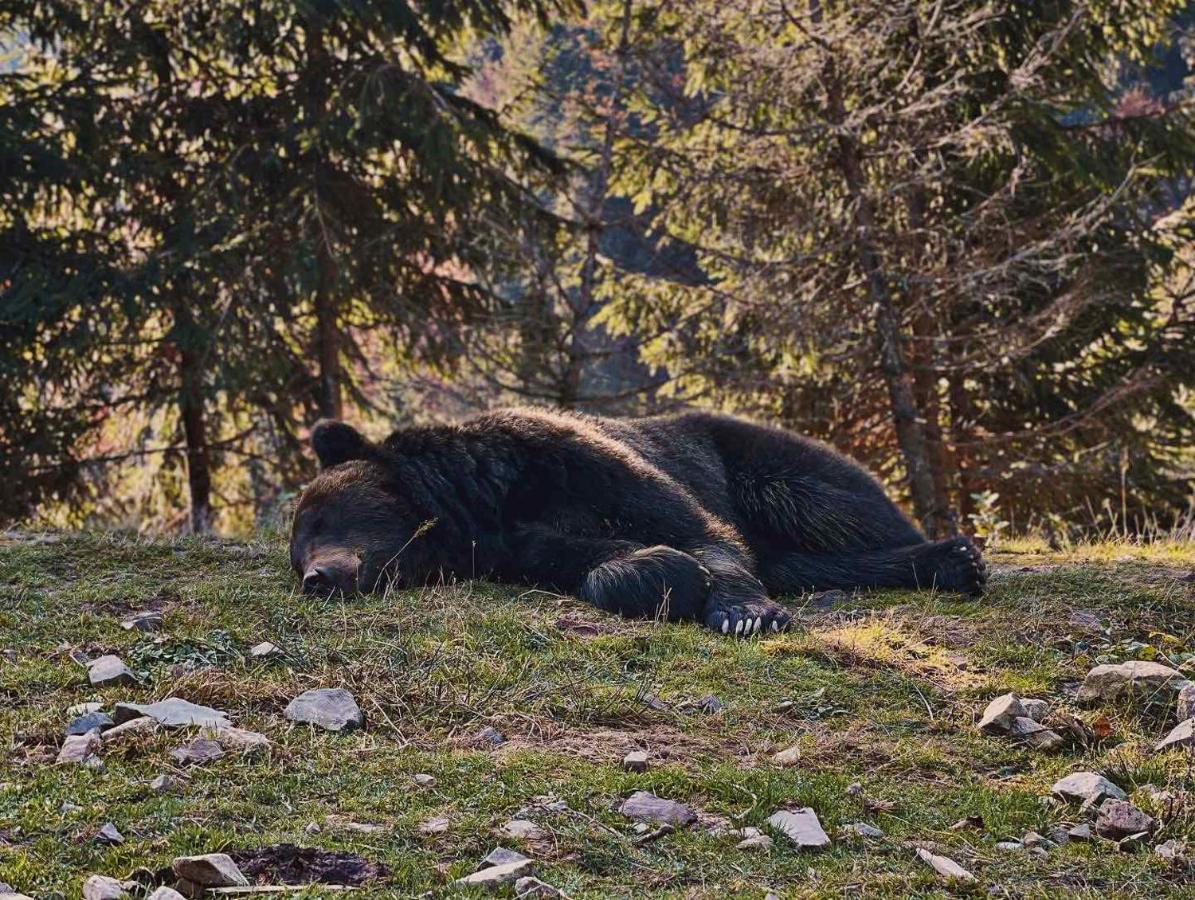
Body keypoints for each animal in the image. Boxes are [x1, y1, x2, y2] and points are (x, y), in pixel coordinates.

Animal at [286, 406, 979, 631]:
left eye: (319, 520)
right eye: (297, 551)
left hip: (763, 464)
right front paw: (663, 575)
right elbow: (598, 562)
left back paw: (956, 555)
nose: (316, 578)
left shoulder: (568, 460)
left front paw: (745, 613)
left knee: (822, 507)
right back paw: (949, 562)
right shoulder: (520, 544)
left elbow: (700, 532)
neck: (482, 500)